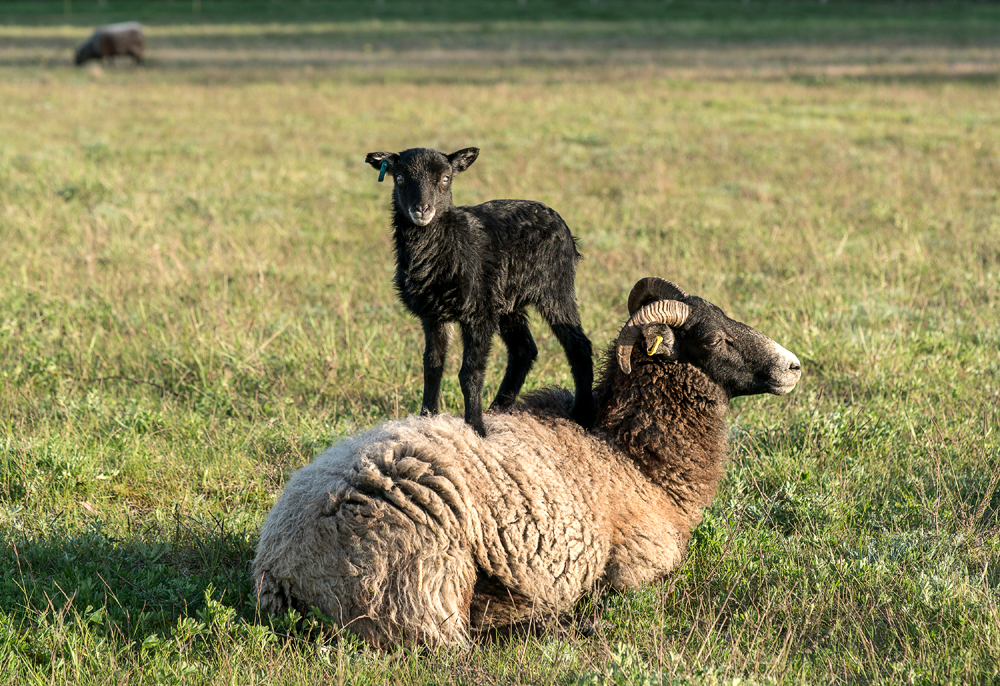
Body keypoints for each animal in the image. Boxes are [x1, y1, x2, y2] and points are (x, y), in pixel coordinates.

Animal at [254, 276, 800, 648]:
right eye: (712, 340)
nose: (793, 365)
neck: (631, 455)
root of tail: (283, 567)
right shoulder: (639, 565)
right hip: (424, 584)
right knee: (458, 640)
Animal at [366, 147, 592, 438]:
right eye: (400, 178)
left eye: (446, 179)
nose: (422, 209)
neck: (446, 245)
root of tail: (558, 220)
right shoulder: (433, 315)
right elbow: (432, 367)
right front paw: (427, 418)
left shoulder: (478, 313)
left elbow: (469, 374)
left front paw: (476, 428)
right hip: (508, 301)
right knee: (524, 350)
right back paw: (499, 408)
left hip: (555, 287)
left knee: (579, 346)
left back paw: (582, 415)